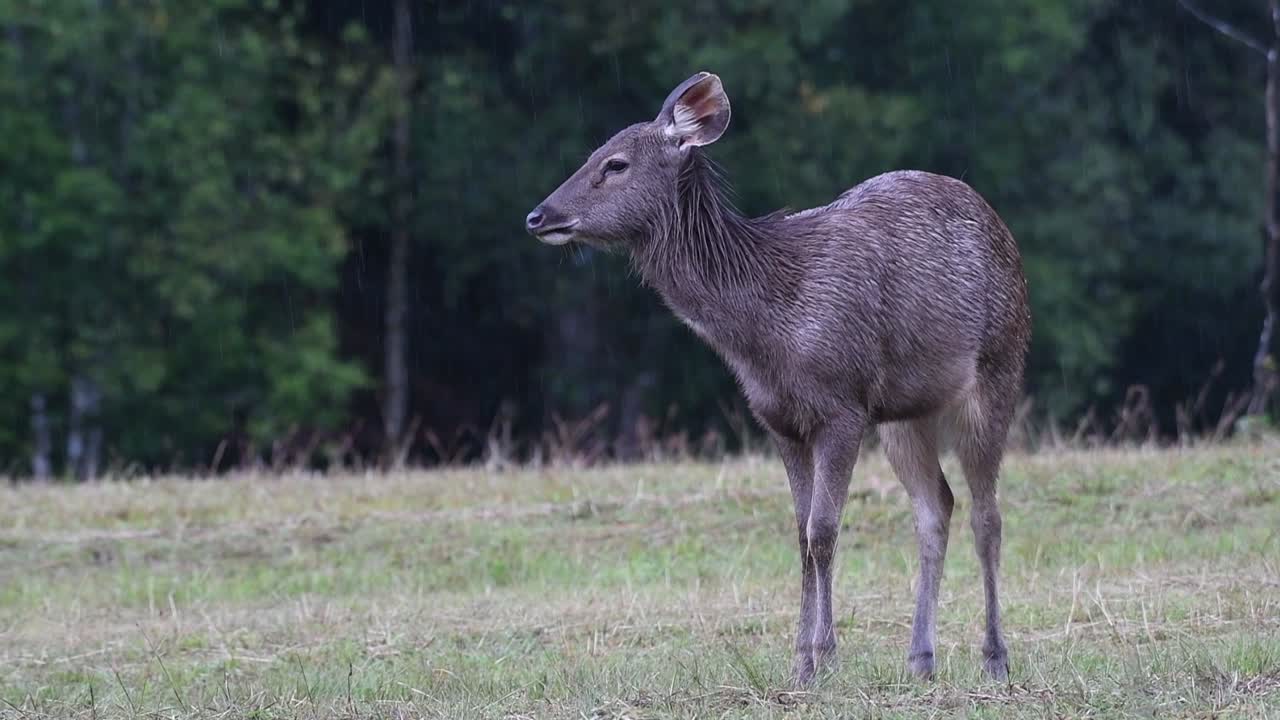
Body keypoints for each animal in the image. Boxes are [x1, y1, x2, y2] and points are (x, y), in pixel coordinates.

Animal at [526, 72, 1031, 686]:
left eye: (615, 163)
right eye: (589, 154)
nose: (538, 216)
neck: (764, 335)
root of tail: (1003, 230)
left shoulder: (843, 405)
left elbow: (823, 530)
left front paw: (826, 659)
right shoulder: (779, 421)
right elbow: (800, 533)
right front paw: (800, 663)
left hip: (999, 367)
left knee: (988, 514)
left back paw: (995, 658)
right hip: (906, 414)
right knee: (937, 508)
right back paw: (919, 660)